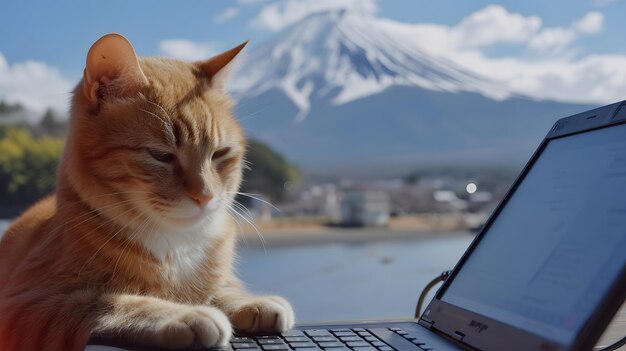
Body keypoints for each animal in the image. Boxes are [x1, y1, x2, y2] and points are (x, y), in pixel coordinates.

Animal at [0, 33, 294, 351]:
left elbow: (222, 287)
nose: (205, 196)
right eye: (161, 155)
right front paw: (185, 314)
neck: (176, 244)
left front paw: (250, 302)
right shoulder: (29, 305)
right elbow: (110, 300)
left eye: (219, 154)